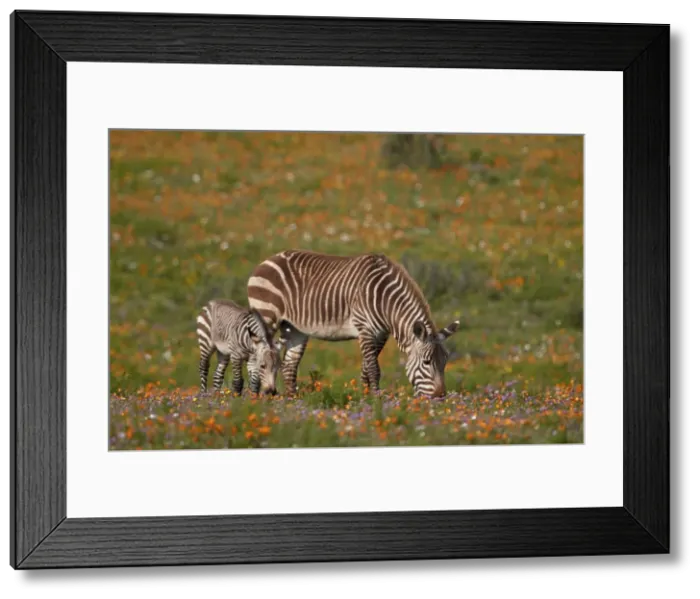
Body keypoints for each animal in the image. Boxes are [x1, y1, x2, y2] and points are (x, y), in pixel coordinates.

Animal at [246, 249, 460, 398]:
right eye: (426, 362)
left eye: (445, 362)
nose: (440, 397)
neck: (385, 300)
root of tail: (269, 259)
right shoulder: (365, 328)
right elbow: (373, 368)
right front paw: (376, 400)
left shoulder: (381, 334)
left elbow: (366, 368)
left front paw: (364, 398)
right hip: (266, 316)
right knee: (255, 357)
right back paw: (254, 397)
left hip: (294, 328)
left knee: (289, 365)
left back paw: (293, 403)